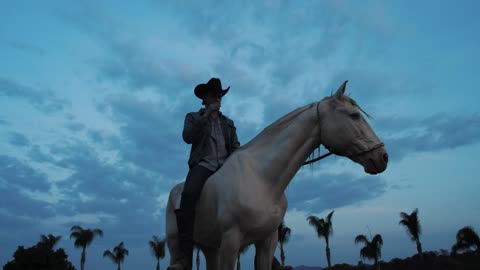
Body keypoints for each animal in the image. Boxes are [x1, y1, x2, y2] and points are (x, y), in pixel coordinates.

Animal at [167, 81, 388, 268]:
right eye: (354, 115)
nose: (383, 157)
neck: (262, 179)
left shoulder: (267, 241)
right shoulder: (230, 243)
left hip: (210, 248)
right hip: (177, 245)